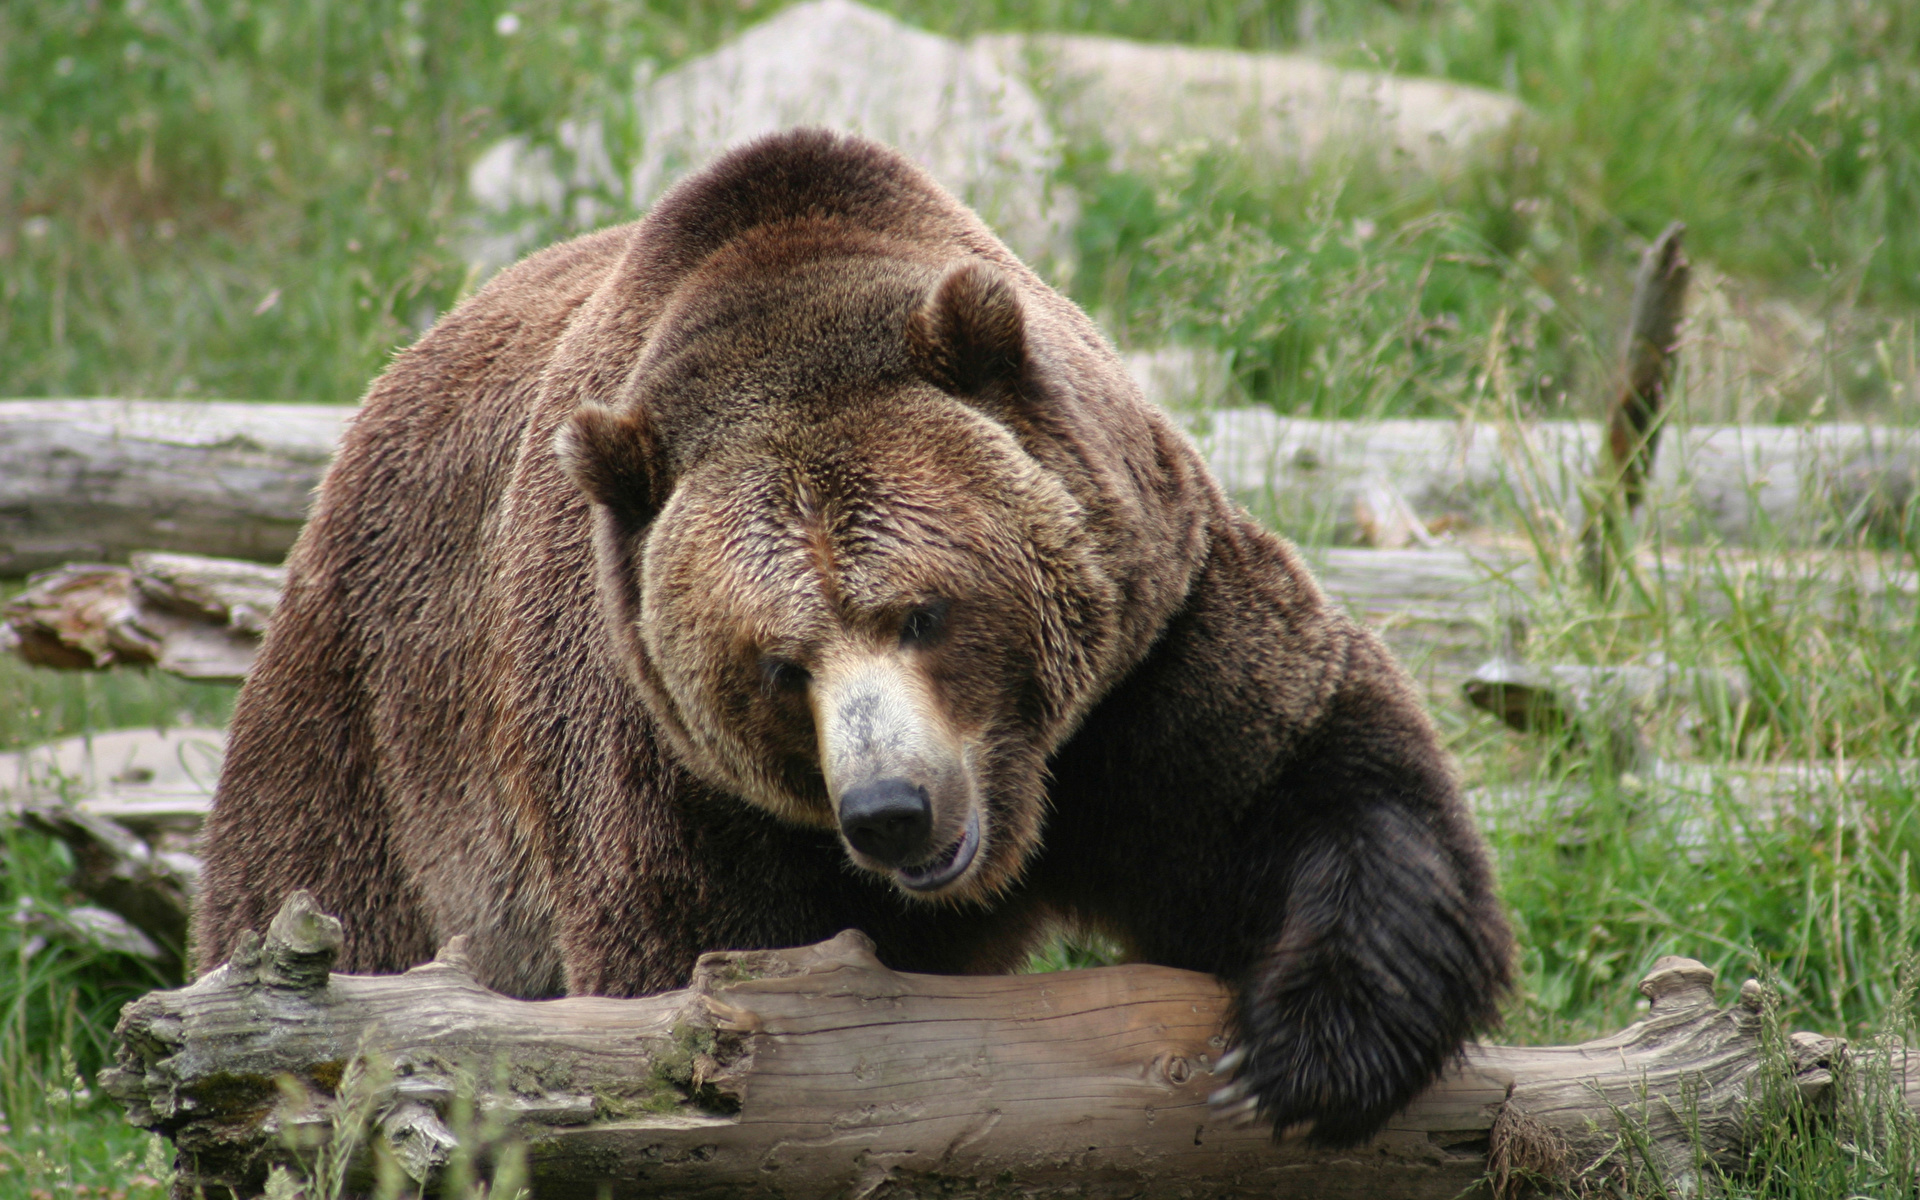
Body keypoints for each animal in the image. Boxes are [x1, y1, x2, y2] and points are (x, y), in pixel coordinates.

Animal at [194, 128, 1512, 1144]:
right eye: (781, 666)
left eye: (923, 611)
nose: (891, 809)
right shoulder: (673, 774)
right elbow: (698, 977)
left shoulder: (1144, 650)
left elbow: (1310, 781)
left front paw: (1293, 1056)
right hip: (372, 741)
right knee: (330, 912)